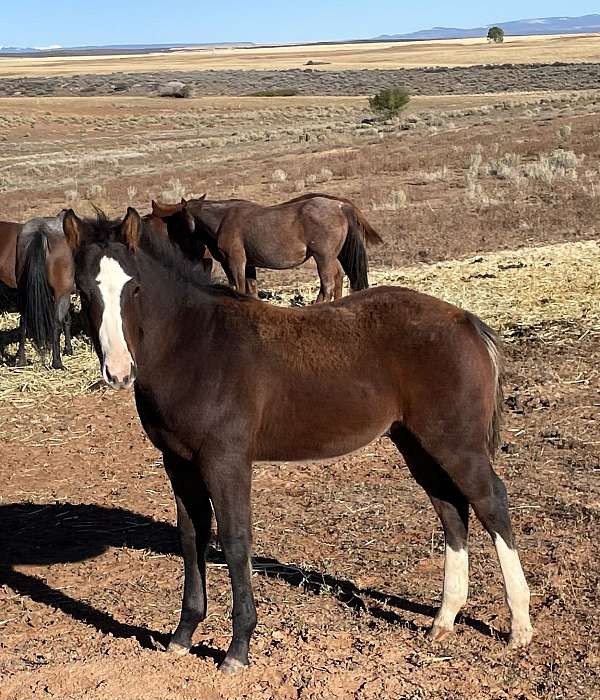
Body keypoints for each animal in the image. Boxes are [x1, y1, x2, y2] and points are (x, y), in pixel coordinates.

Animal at [15, 211, 75, 370]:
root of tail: (40, 231)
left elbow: (67, 319)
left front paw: (69, 349)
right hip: (61, 293)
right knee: (55, 323)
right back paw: (57, 362)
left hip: (25, 291)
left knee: (23, 320)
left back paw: (21, 360)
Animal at [63, 206, 536, 672]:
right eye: (83, 291)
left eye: (135, 288)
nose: (119, 372)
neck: (196, 348)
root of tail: (467, 321)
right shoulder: (177, 463)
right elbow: (190, 537)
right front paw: (182, 637)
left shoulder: (226, 460)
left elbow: (234, 540)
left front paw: (237, 650)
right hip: (416, 443)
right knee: (451, 509)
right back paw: (444, 619)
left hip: (455, 443)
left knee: (491, 501)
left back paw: (519, 627)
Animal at [152, 191, 382, 300]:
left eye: (176, 219)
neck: (223, 219)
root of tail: (341, 205)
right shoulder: (249, 264)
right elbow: (251, 289)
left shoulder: (235, 262)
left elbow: (239, 286)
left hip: (323, 258)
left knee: (328, 285)